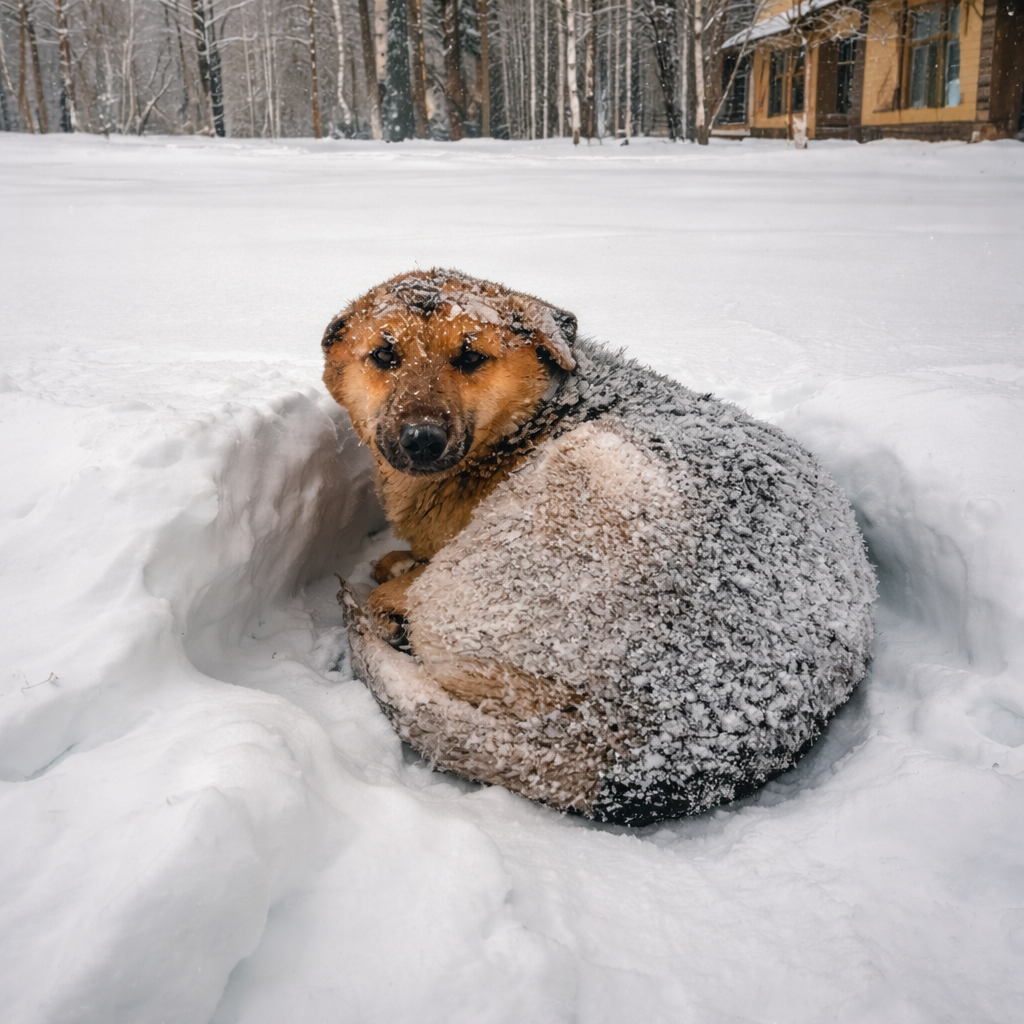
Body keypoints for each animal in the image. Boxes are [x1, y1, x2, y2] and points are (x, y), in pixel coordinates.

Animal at [322, 269, 875, 826]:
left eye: (471, 357)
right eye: (384, 355)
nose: (421, 439)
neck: (535, 420)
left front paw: (396, 575)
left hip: (568, 497)